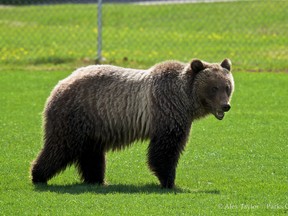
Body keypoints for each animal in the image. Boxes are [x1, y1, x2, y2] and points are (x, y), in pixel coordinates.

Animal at [31, 58, 234, 188]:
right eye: (214, 87)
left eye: (227, 86)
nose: (225, 106)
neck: (185, 100)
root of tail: (60, 84)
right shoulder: (166, 111)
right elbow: (165, 150)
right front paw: (169, 181)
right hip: (76, 115)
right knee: (60, 147)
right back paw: (38, 175)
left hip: (93, 124)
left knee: (91, 153)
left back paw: (97, 180)